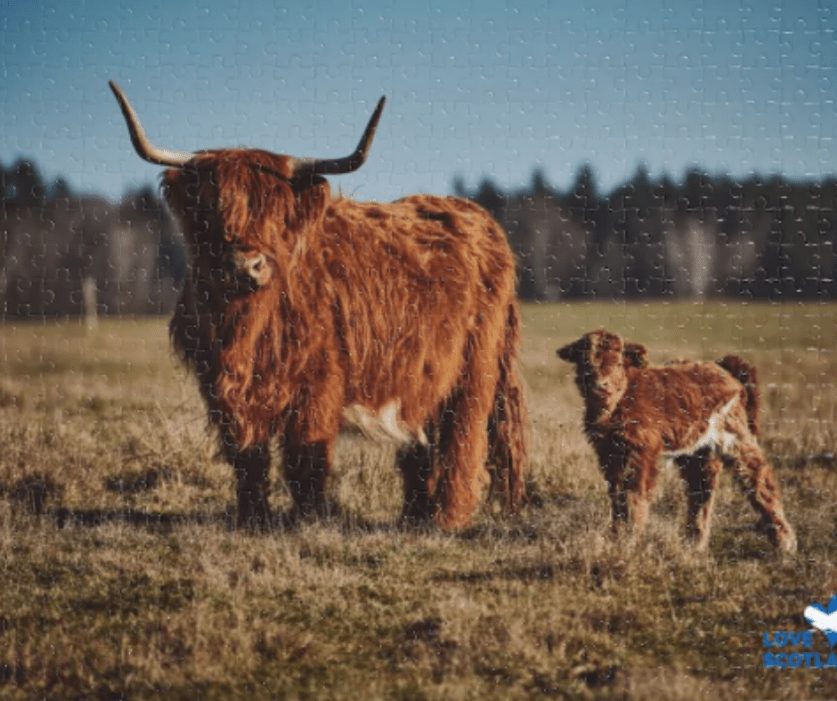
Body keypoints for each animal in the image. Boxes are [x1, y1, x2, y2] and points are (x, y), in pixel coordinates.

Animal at [109, 80, 528, 532]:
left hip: (475, 368)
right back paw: (414, 516)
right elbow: (247, 457)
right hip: (420, 377)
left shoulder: (319, 383)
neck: (245, 329)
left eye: (276, 214)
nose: (246, 265)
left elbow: (304, 458)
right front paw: (253, 518)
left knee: (462, 439)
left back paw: (446, 519)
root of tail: (477, 217)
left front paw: (307, 520)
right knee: (421, 444)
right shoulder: (223, 389)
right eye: (212, 211)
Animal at [560, 330, 792, 552]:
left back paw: (785, 543)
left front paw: (630, 539)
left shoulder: (641, 454)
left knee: (759, 478)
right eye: (585, 362)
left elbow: (634, 495)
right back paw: (694, 543)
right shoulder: (609, 455)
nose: (599, 385)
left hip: (734, 438)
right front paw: (617, 537)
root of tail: (722, 367)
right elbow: (616, 496)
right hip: (698, 452)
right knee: (701, 491)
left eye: (617, 362)